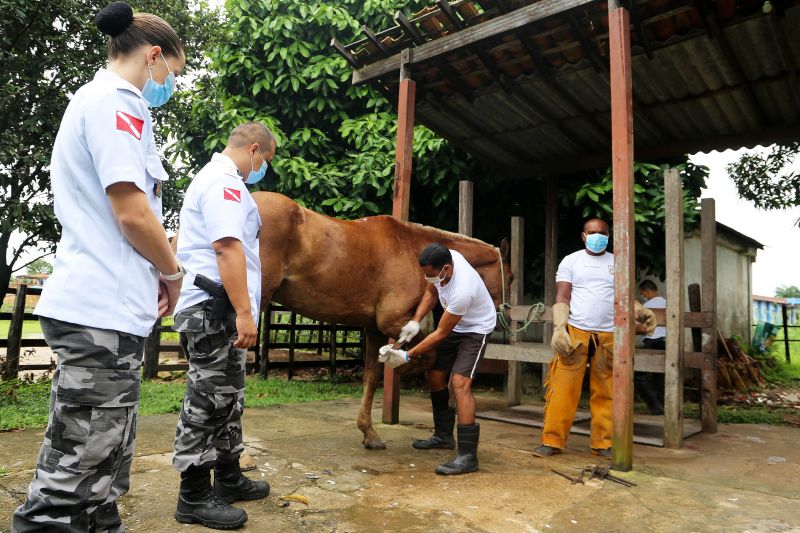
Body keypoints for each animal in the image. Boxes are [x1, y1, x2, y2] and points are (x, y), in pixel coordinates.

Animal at [255, 191, 512, 448]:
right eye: (510, 277)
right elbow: (427, 355)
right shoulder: (391, 321)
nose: (505, 318)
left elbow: (371, 376)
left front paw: (369, 432)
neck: (410, 247)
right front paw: (403, 366)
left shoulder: (374, 329)